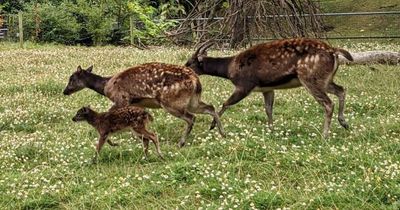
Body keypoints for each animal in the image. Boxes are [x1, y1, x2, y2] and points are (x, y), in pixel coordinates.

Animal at [64, 62, 223, 148]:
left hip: (171, 102)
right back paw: (221, 132)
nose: (65, 91)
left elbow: (108, 117)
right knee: (210, 107)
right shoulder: (138, 104)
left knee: (191, 117)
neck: (105, 86)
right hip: (192, 101)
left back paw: (181, 143)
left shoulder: (121, 99)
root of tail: (196, 80)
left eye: (72, 79)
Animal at [184, 38, 354, 138]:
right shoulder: (267, 88)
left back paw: (324, 135)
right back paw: (344, 123)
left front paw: (212, 126)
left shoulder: (245, 84)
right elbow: (268, 109)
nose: (184, 67)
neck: (230, 69)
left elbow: (226, 103)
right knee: (341, 89)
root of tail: (334, 51)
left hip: (310, 78)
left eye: (191, 61)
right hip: (325, 80)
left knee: (328, 103)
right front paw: (272, 130)